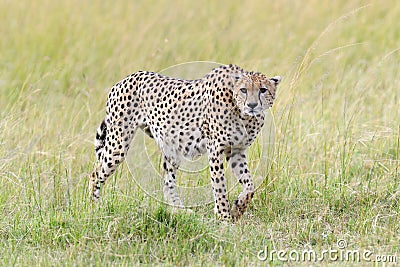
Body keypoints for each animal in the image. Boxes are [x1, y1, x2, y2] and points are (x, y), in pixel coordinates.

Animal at [90, 64, 282, 222]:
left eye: (263, 89)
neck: (243, 114)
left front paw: (237, 209)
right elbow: (219, 186)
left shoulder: (236, 151)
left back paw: (180, 211)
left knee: (167, 184)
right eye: (243, 89)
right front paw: (224, 216)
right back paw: (96, 207)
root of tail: (126, 78)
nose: (252, 105)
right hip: (118, 144)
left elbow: (250, 186)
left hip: (171, 149)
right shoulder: (216, 150)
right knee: (95, 173)